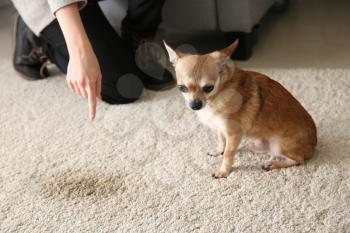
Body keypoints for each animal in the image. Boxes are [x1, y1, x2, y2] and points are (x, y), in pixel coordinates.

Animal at [164, 40, 318, 178]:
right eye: (182, 88)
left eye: (209, 88)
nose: (195, 105)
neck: (217, 95)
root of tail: (313, 145)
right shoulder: (221, 128)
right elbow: (221, 140)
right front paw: (218, 150)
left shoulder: (233, 133)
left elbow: (228, 154)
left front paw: (223, 171)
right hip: (258, 144)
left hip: (279, 145)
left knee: (299, 160)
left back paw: (273, 164)